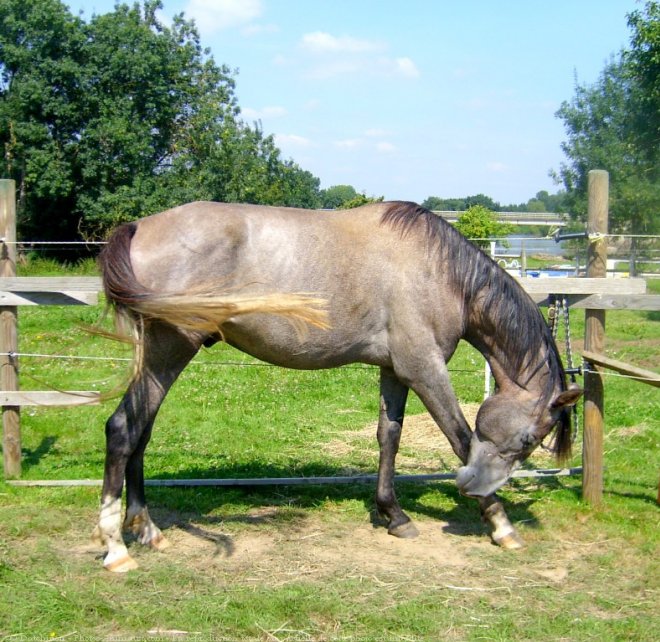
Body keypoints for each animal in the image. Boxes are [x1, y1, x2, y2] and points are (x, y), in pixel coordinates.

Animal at [91, 200, 576, 568]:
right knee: (122, 429)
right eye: (532, 438)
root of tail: (138, 227)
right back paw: (116, 548)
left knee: (140, 431)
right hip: (170, 350)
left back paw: (147, 529)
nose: (473, 487)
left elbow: (389, 436)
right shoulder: (425, 370)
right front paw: (501, 525)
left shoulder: (395, 371)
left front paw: (393, 515)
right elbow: (461, 437)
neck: (441, 272)